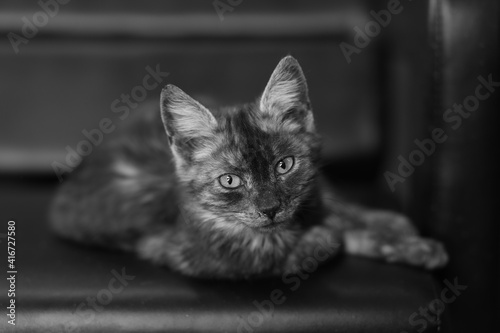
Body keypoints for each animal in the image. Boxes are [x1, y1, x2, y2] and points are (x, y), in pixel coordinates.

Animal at [49, 55, 450, 278]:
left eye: (284, 165)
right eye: (229, 181)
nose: (270, 209)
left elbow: (340, 215)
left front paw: (406, 239)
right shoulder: (188, 255)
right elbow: (314, 248)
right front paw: (335, 237)